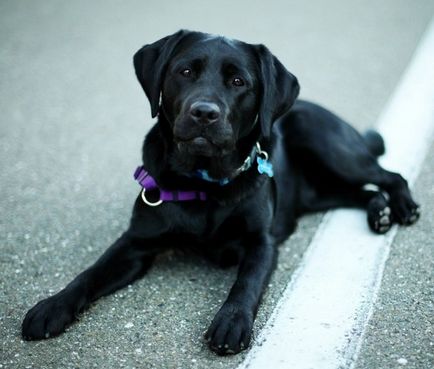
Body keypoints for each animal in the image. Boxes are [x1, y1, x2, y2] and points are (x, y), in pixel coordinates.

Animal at [21, 30, 420, 354]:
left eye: (239, 81)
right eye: (184, 72)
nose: (204, 112)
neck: (203, 183)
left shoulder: (262, 243)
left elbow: (246, 282)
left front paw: (231, 322)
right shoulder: (134, 243)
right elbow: (90, 272)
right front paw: (52, 306)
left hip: (326, 141)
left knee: (388, 175)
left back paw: (402, 207)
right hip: (318, 191)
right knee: (359, 192)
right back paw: (379, 212)